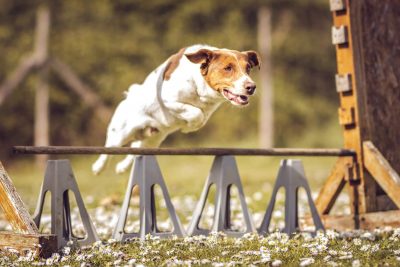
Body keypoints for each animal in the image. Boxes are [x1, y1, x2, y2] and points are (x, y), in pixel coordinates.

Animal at [92, 45, 260, 175]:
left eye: (248, 68)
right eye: (228, 68)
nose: (251, 87)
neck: (198, 82)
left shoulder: (208, 108)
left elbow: (201, 116)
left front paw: (190, 125)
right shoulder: (167, 99)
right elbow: (196, 113)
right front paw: (189, 125)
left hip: (153, 140)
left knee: (136, 150)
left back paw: (122, 167)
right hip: (122, 132)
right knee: (109, 149)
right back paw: (97, 167)